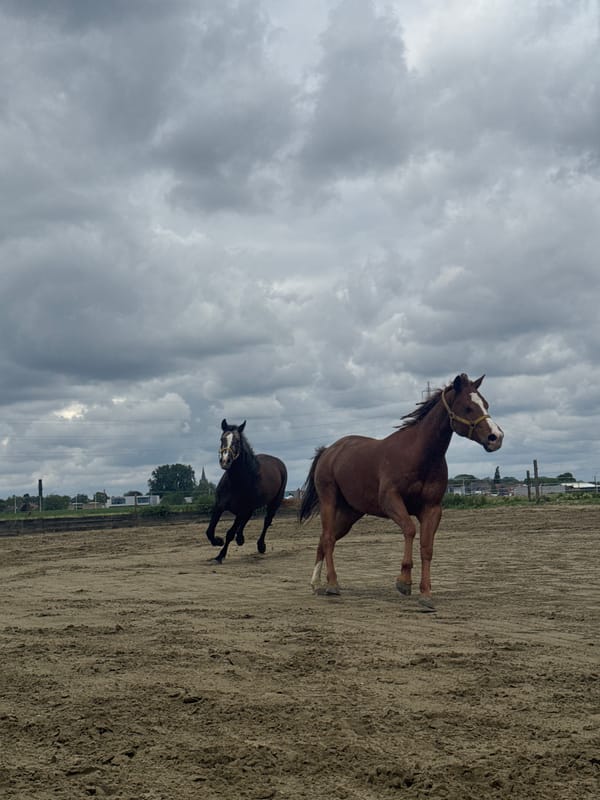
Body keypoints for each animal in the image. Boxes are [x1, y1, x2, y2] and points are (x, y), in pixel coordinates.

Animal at [205, 419, 288, 564]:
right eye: (222, 439)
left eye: (237, 441)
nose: (225, 461)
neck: (236, 482)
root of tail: (279, 463)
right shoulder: (219, 506)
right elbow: (209, 531)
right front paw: (218, 541)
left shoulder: (242, 509)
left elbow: (230, 533)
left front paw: (220, 555)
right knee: (248, 518)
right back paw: (240, 538)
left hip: (275, 502)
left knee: (267, 521)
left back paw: (261, 545)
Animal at [299, 373, 503, 610]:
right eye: (468, 407)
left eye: (485, 404)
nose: (496, 437)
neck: (419, 455)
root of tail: (328, 451)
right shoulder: (391, 501)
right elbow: (410, 530)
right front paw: (404, 581)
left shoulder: (432, 509)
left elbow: (427, 547)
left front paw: (426, 595)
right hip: (329, 502)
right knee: (329, 538)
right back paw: (331, 584)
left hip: (351, 513)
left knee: (324, 539)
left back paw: (316, 583)